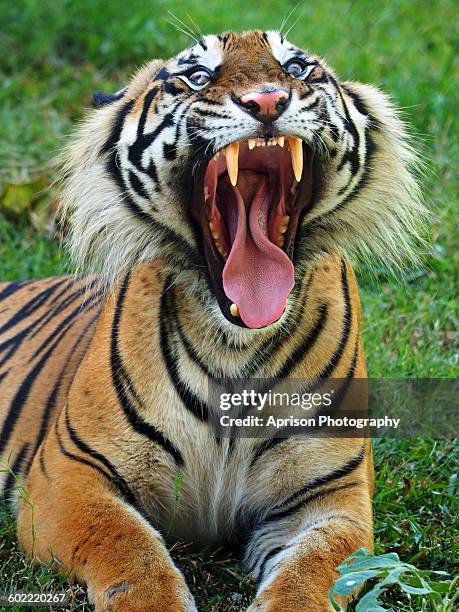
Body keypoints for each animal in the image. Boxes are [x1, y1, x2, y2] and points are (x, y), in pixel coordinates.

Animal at [0, 29, 428, 612]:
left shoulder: (331, 496)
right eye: (198, 76)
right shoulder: (69, 473)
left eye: (296, 68)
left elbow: (310, 574)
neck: (234, 347)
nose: (267, 101)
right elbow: (127, 547)